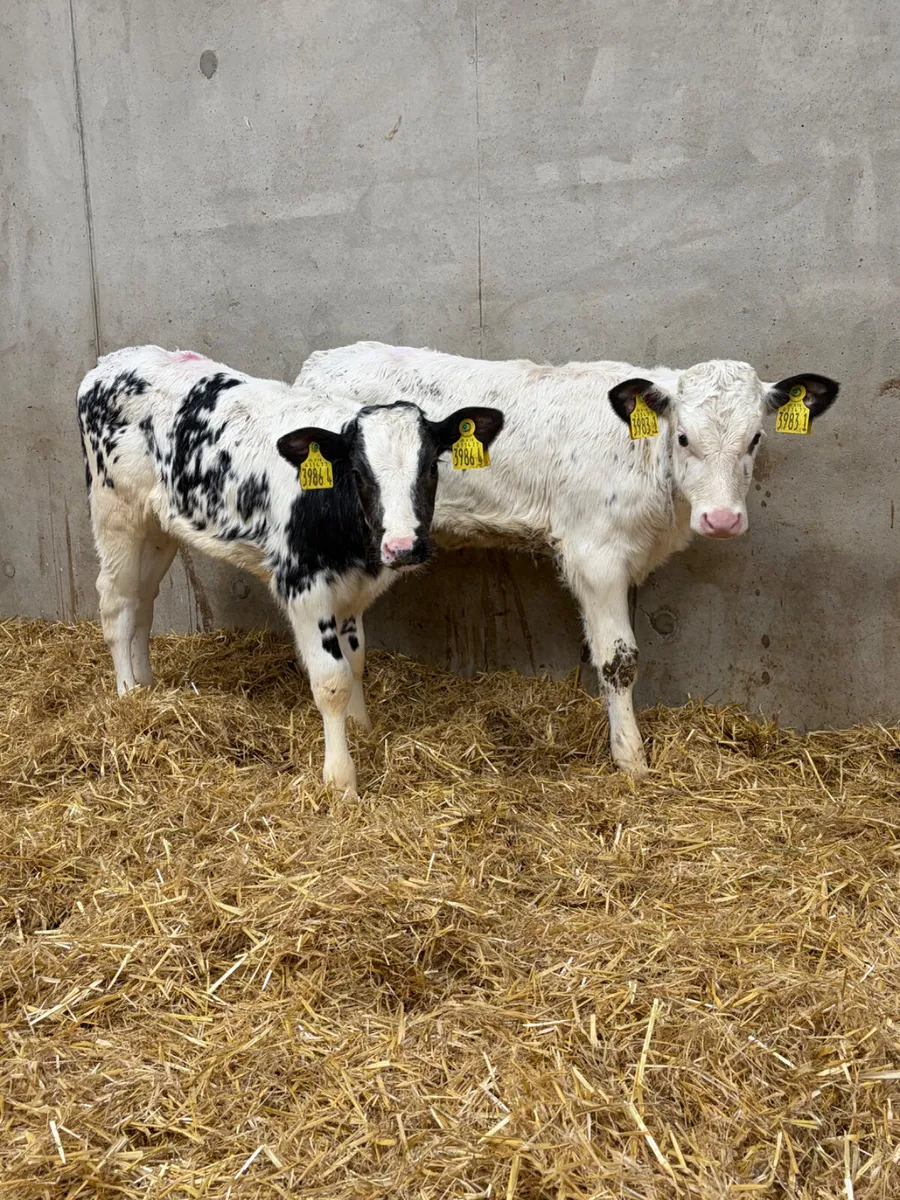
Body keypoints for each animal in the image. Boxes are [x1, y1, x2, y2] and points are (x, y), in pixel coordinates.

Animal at [76, 345, 504, 793]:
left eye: (432, 468)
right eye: (358, 474)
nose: (403, 547)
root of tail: (113, 361)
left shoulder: (352, 591)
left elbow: (355, 662)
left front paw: (361, 727)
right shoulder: (303, 586)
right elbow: (332, 680)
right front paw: (341, 779)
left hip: (159, 526)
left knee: (143, 600)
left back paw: (147, 687)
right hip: (114, 509)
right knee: (117, 602)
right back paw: (127, 695)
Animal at [299, 343, 839, 776]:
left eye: (755, 439)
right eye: (684, 437)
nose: (722, 519)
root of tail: (322, 359)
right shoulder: (594, 555)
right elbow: (620, 659)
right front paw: (631, 759)